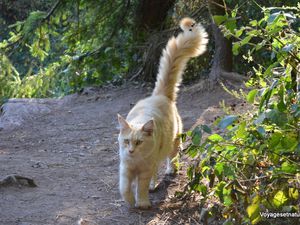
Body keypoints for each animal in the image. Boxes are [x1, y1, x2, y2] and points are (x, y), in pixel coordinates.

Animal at [117, 16, 209, 208]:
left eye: (139, 142)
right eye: (127, 141)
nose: (131, 151)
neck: (137, 160)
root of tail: (159, 95)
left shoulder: (145, 169)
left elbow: (142, 187)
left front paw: (142, 203)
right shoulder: (125, 169)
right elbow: (125, 188)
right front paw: (130, 200)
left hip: (173, 143)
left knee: (171, 159)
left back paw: (168, 172)